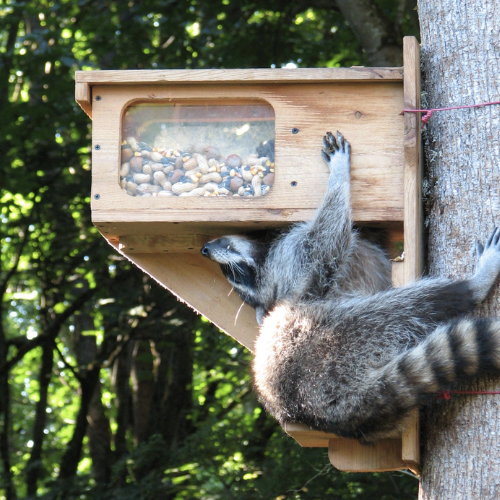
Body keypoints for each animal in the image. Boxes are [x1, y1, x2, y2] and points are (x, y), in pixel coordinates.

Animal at [201, 132, 500, 442]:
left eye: (231, 272)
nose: (205, 249)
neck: (265, 256)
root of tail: (322, 409)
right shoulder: (294, 258)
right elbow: (325, 241)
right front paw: (339, 176)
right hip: (331, 341)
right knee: (403, 307)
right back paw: (472, 285)